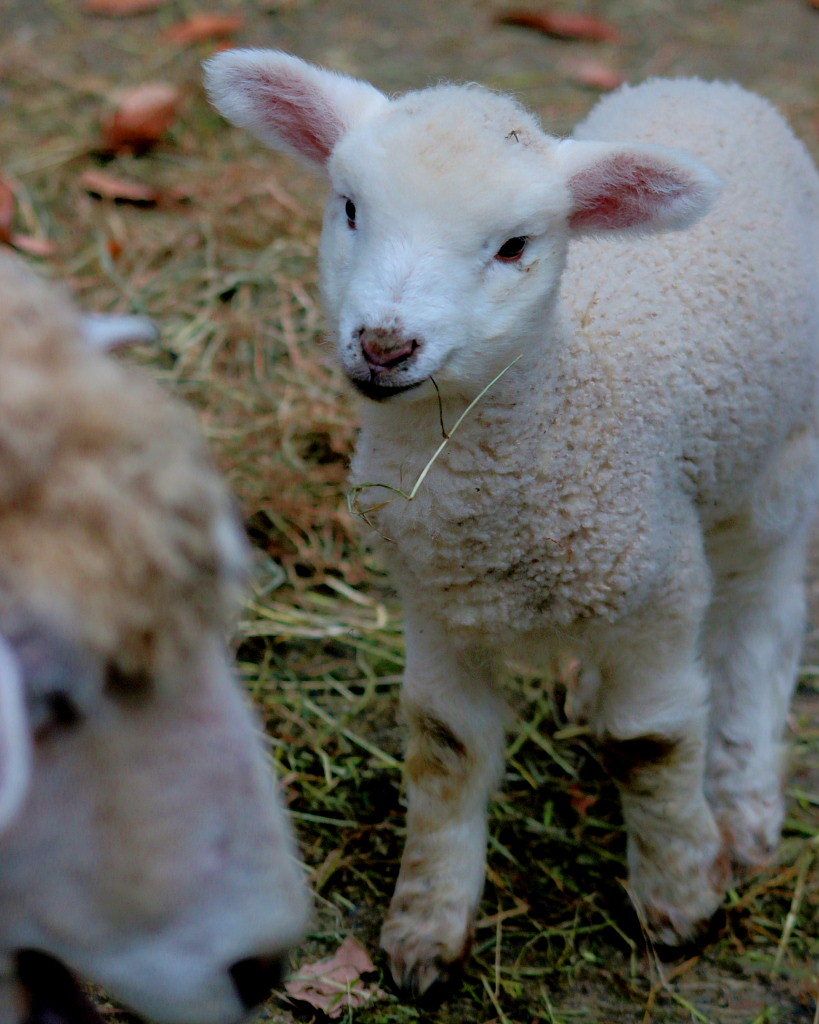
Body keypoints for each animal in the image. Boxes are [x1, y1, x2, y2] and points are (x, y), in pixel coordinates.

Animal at [207, 51, 818, 995]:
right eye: (350, 208)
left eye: (512, 248)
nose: (384, 346)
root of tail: (709, 86)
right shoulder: (435, 602)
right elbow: (445, 746)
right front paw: (425, 929)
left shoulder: (659, 583)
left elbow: (649, 744)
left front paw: (680, 898)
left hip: (775, 470)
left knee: (764, 617)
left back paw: (744, 799)